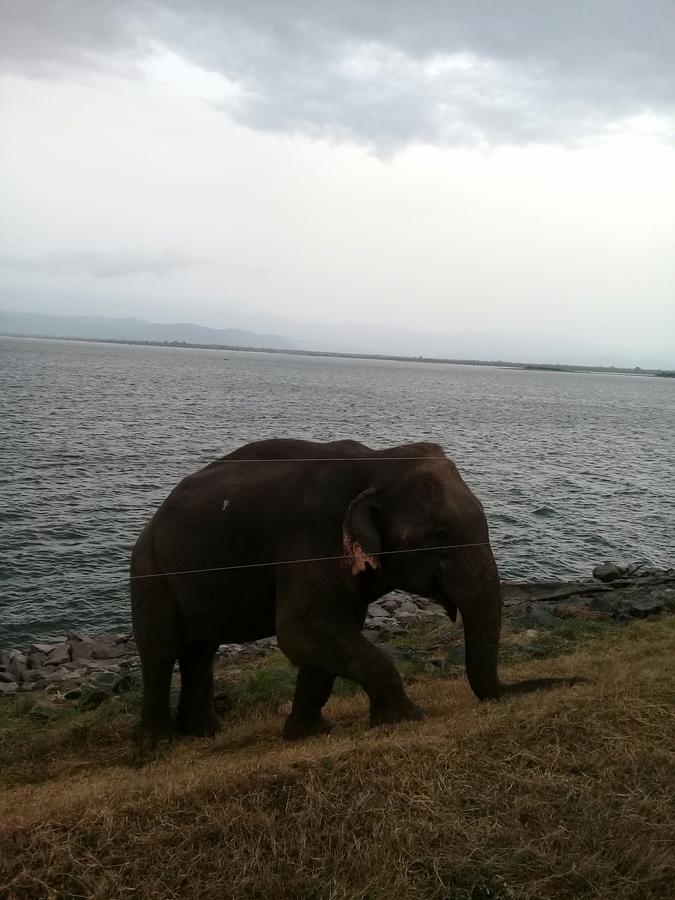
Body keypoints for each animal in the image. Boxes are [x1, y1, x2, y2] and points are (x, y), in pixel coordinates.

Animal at [132, 440, 580, 740]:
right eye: (440, 536)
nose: (574, 681)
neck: (377, 462)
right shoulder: (311, 540)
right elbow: (300, 632)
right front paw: (408, 718)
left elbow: (330, 634)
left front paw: (309, 733)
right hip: (148, 568)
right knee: (160, 651)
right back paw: (157, 746)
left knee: (199, 650)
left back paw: (203, 733)